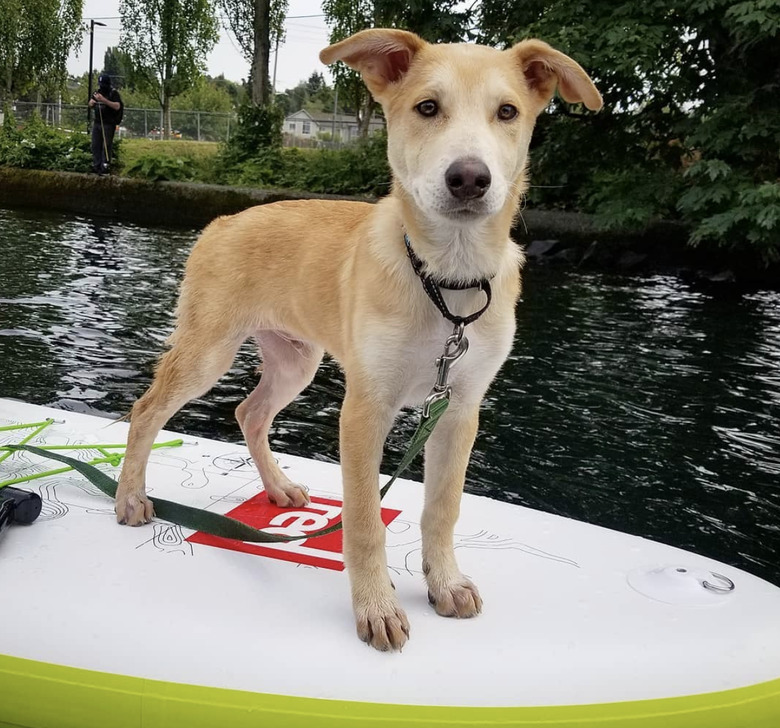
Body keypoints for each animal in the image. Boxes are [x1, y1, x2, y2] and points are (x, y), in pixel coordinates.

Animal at [116, 31, 600, 652]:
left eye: (508, 112)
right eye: (427, 107)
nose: (470, 178)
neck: (448, 282)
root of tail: (222, 221)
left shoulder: (459, 408)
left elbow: (442, 508)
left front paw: (445, 583)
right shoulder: (366, 409)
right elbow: (366, 519)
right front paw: (376, 608)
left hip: (295, 358)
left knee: (249, 412)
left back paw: (278, 488)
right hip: (208, 348)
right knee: (147, 409)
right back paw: (131, 497)